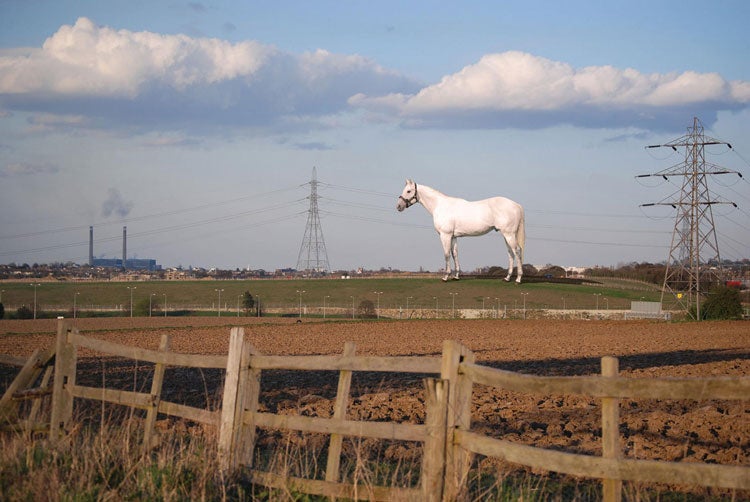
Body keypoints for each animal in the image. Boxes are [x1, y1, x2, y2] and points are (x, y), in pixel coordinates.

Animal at [396, 179, 525, 283]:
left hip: (509, 234)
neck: (440, 206)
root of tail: (517, 205)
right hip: (506, 235)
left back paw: (518, 279)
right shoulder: (453, 236)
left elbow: (447, 254)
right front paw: (456, 276)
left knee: (517, 251)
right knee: (510, 253)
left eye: (408, 191)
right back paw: (507, 278)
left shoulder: (445, 235)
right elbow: (455, 254)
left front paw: (446, 277)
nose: (398, 206)